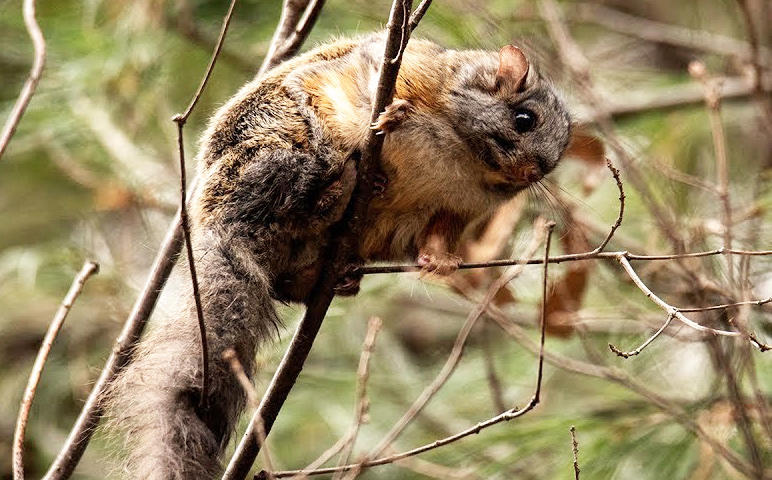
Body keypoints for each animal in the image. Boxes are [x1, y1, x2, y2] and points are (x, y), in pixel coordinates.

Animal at [106, 33, 571, 479]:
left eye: (555, 161)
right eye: (524, 119)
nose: (534, 172)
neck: (463, 154)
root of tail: (225, 224)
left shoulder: (455, 210)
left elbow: (439, 235)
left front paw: (439, 261)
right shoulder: (402, 69)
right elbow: (357, 84)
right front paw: (390, 115)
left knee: (288, 282)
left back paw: (334, 270)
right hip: (278, 151)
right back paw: (345, 185)